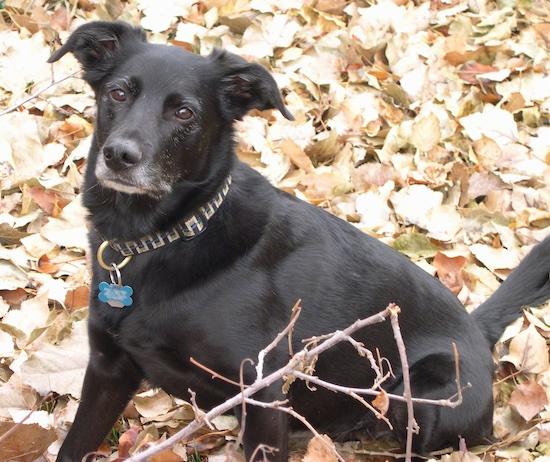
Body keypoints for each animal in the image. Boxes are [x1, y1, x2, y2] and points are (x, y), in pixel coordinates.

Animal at [49, 19, 550, 460]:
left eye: (184, 112)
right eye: (118, 93)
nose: (119, 155)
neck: (161, 238)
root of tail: (477, 330)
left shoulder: (263, 392)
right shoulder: (108, 368)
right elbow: (73, 446)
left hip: (426, 399)